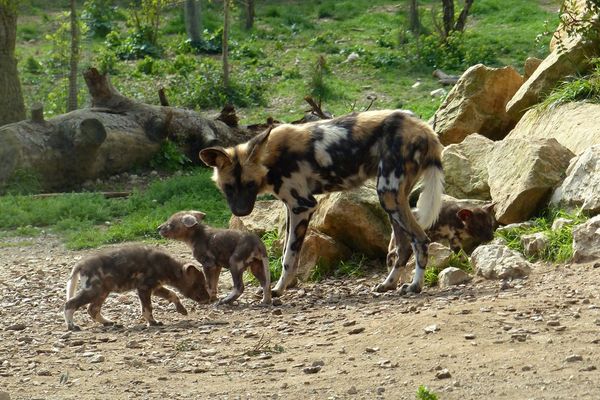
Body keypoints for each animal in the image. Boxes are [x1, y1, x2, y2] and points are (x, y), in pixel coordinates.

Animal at [63, 247, 211, 332]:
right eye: (199, 285)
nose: (209, 299)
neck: (168, 267)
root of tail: (80, 264)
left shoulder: (155, 287)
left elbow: (173, 294)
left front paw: (181, 310)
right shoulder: (144, 288)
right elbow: (147, 309)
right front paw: (153, 323)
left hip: (102, 292)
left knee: (92, 309)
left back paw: (109, 323)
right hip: (94, 290)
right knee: (70, 304)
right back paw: (72, 326)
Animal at [202, 109, 446, 296]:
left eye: (250, 184)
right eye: (229, 187)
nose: (241, 211)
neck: (270, 158)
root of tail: (423, 127)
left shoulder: (302, 205)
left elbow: (289, 256)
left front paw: (278, 289)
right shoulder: (291, 208)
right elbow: (287, 251)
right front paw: (288, 285)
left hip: (387, 194)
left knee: (420, 240)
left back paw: (415, 286)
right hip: (393, 200)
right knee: (403, 247)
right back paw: (388, 284)